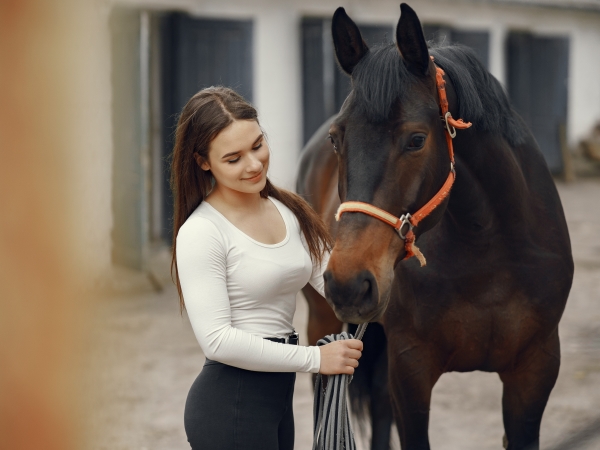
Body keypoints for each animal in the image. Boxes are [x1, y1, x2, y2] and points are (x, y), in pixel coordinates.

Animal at [298, 4, 576, 450]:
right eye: (336, 138)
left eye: (416, 140)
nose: (348, 283)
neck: (487, 249)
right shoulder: (411, 370)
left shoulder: (535, 368)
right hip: (323, 320)